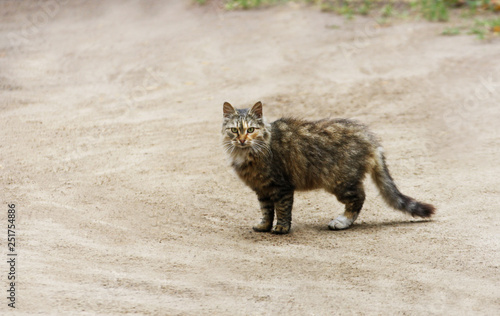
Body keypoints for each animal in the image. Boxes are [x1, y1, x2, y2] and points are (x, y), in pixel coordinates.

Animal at [221, 101, 436, 235]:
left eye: (250, 130)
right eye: (235, 130)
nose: (242, 140)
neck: (248, 154)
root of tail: (369, 138)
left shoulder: (281, 187)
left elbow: (282, 211)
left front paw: (281, 229)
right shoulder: (262, 189)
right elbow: (266, 211)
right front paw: (264, 226)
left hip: (340, 182)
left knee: (359, 198)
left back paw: (341, 222)